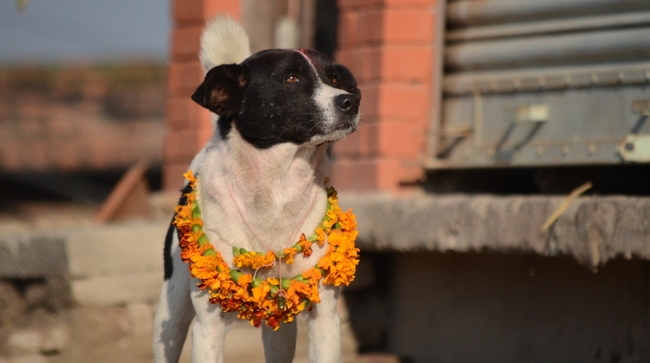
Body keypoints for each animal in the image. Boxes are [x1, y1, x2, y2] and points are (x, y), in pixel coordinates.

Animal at [152, 14, 360, 363]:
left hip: (282, 326)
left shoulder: (325, 317)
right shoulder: (207, 325)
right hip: (171, 314)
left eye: (334, 78)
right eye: (291, 77)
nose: (352, 100)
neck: (276, 187)